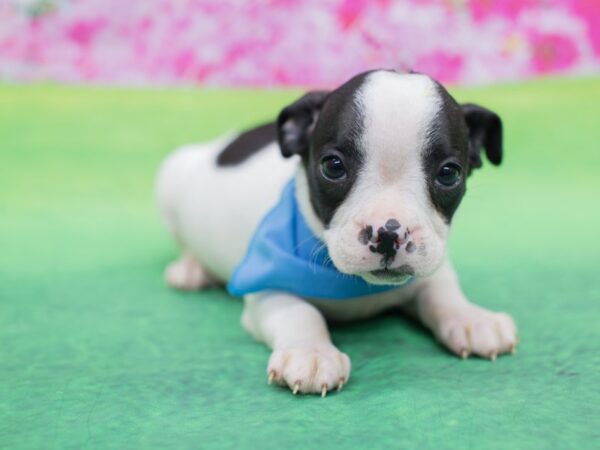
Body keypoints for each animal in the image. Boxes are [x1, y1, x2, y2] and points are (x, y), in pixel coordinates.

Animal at [157, 68, 516, 396]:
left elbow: (442, 291)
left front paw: (471, 318)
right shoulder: (265, 286)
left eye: (449, 174)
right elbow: (300, 312)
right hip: (171, 176)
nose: (388, 233)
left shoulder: (429, 265)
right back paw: (190, 269)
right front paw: (311, 352)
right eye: (333, 166)